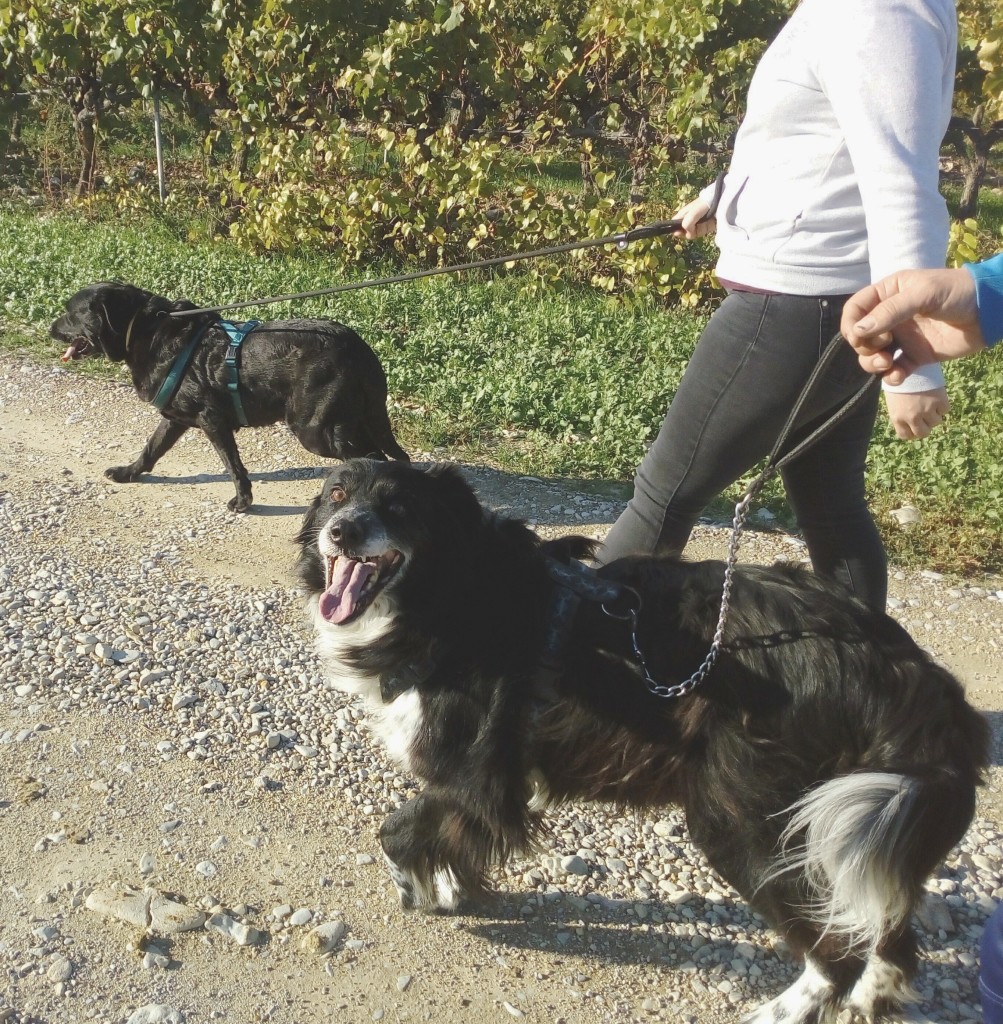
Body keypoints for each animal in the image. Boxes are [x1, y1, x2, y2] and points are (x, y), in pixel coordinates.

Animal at [49, 282, 411, 509]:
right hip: (354, 420)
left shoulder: (213, 421)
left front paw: (243, 501)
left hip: (316, 430)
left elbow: (233, 465)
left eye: (71, 312)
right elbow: (151, 449)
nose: (50, 328)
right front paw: (128, 473)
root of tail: (358, 348)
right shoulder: (175, 419)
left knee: (375, 457)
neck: (144, 331)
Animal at [297, 462, 987, 1024]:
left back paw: (789, 1008)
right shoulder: (491, 786)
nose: (343, 532)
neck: (451, 590)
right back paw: (875, 996)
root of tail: (902, 667)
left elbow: (397, 830)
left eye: (398, 507)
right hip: (860, 821)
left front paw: (418, 889)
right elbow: (448, 835)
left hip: (745, 820)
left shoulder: (477, 773)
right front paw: (450, 886)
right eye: (336, 494)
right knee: (888, 922)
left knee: (836, 948)